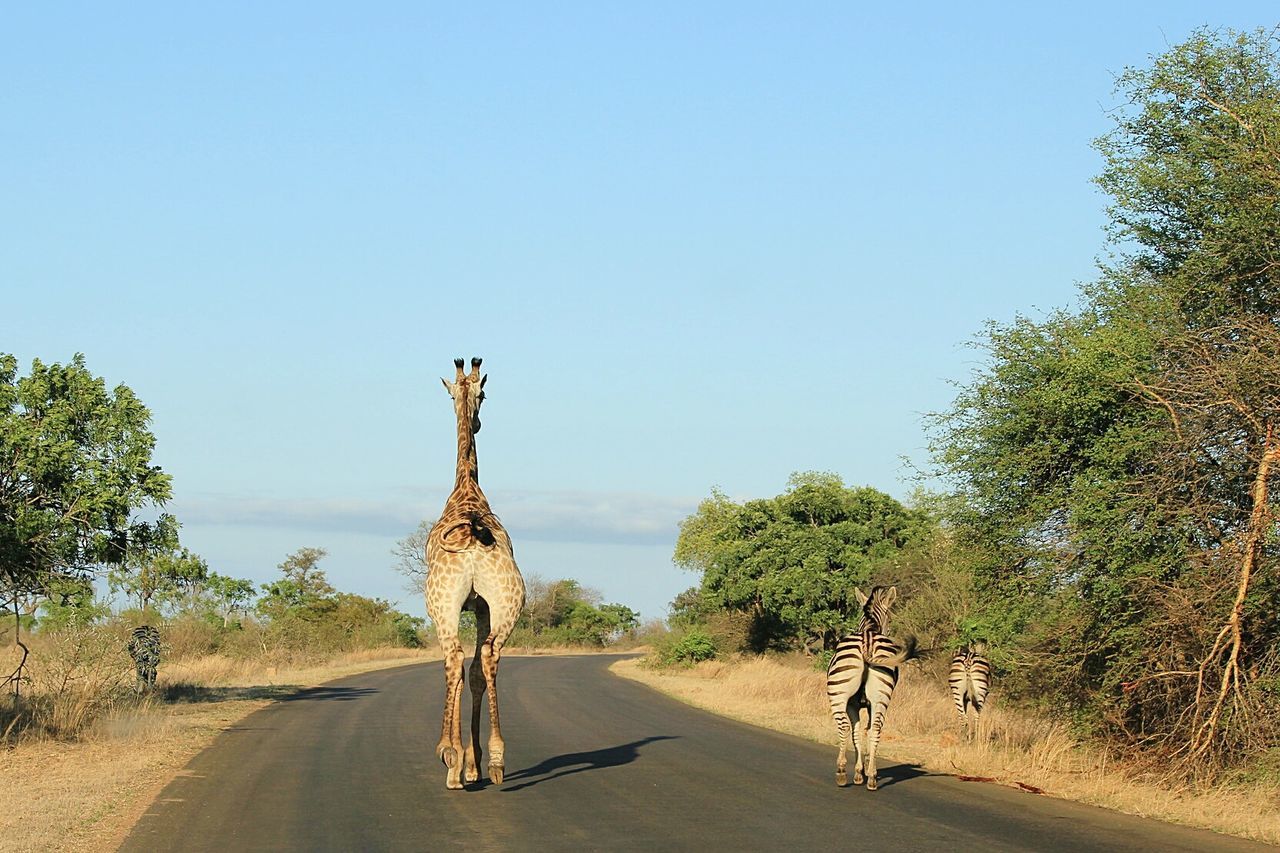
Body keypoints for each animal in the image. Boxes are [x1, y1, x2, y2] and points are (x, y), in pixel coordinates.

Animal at [824, 581, 916, 788]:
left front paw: (859, 771)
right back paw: (872, 777)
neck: (870, 628)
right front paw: (862, 772)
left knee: (844, 727)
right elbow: (862, 732)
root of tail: (867, 642)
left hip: (838, 694)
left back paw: (841, 772)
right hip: (881, 697)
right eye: (890, 619)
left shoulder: (852, 704)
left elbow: (855, 732)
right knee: (875, 729)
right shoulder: (862, 704)